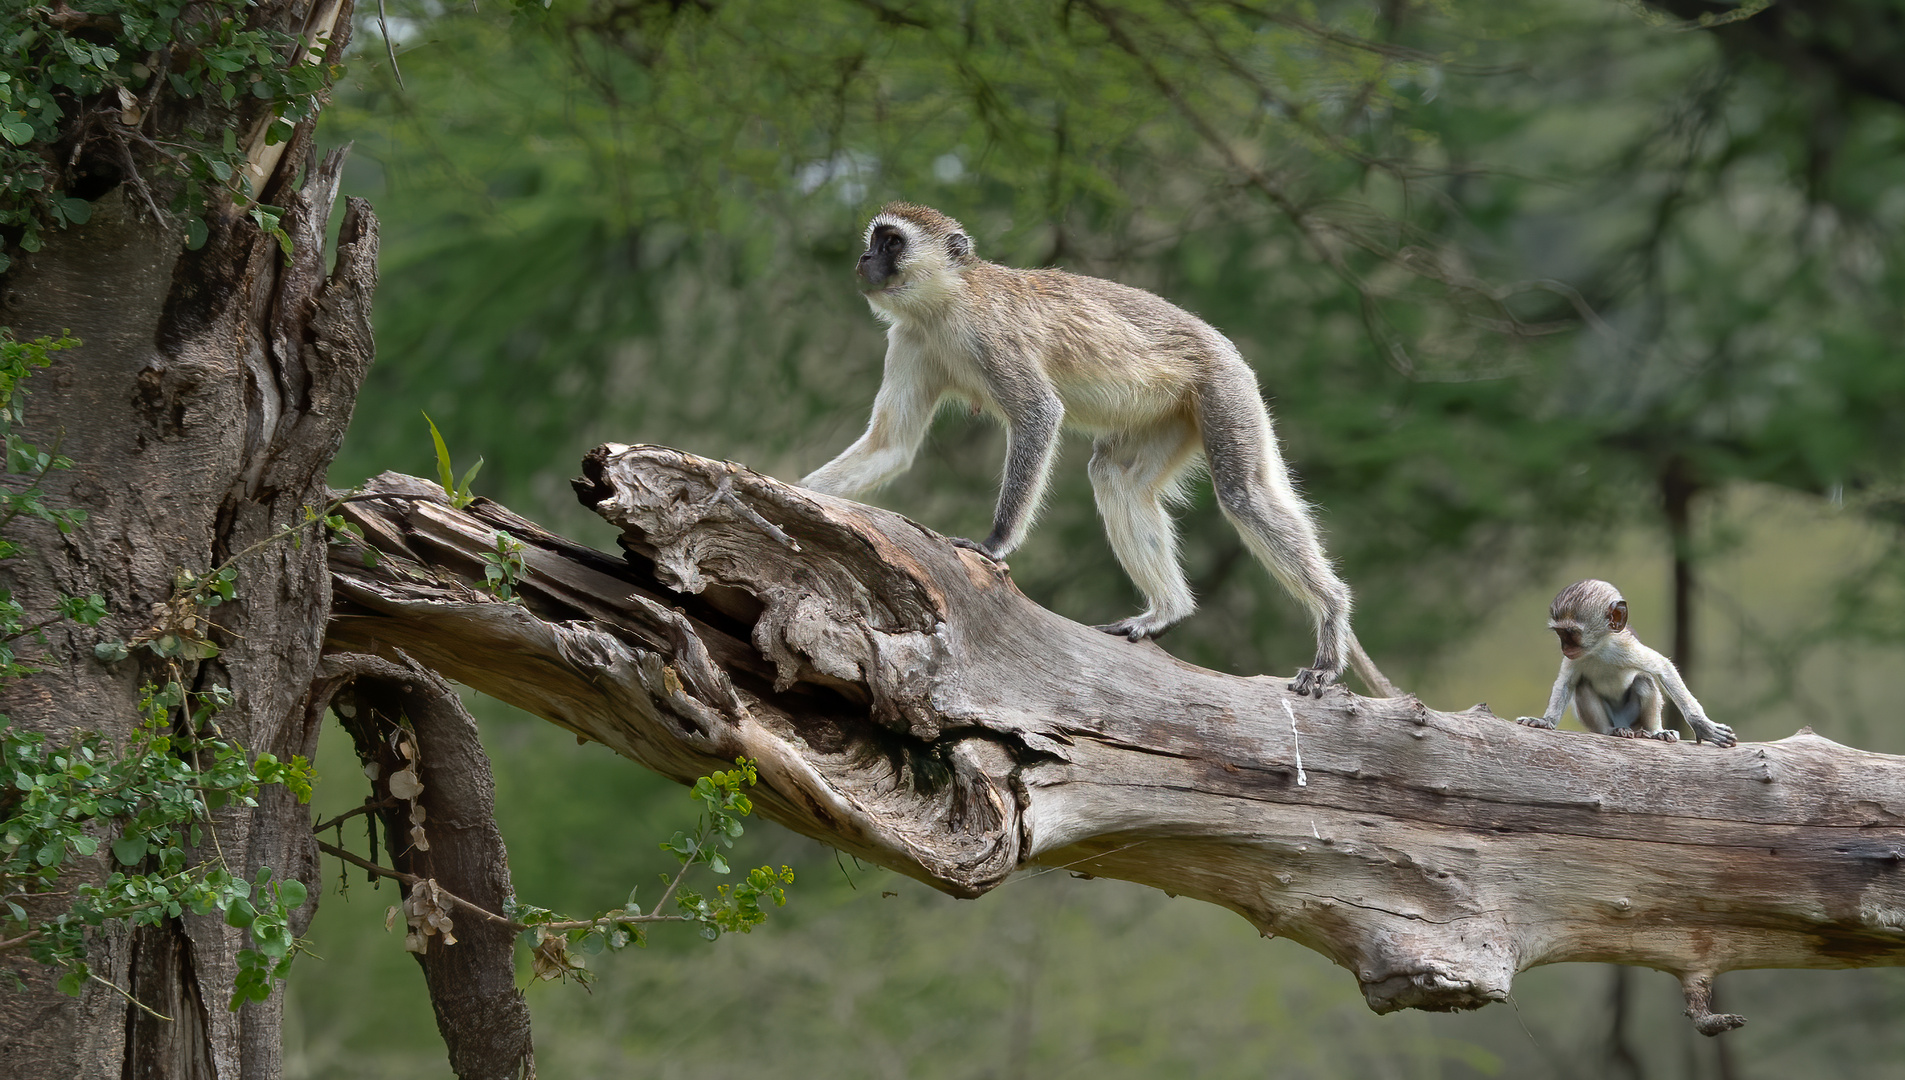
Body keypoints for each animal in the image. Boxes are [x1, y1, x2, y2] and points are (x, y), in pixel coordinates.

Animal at [792, 200, 1402, 697]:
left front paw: (993, 544)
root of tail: (1225, 346)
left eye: (892, 242)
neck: (944, 302)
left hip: (1223, 389)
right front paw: (787, 495)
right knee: (1116, 475)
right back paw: (1166, 612)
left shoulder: (988, 332)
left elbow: (1039, 415)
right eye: (876, 240)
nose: (864, 258)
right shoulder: (911, 339)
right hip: (1174, 414)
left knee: (1242, 493)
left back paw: (1330, 617)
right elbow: (891, 446)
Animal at [1516, 579, 1744, 746]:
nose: (1565, 648)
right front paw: (1545, 721)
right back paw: (1612, 731)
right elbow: (1566, 683)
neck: (1599, 650)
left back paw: (1655, 732)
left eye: (1571, 634)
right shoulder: (1575, 659)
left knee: (1644, 681)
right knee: (1583, 686)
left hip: (1633, 717)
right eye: (1560, 634)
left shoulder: (1625, 647)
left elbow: (1664, 668)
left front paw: (1701, 725)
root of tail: (1624, 722)